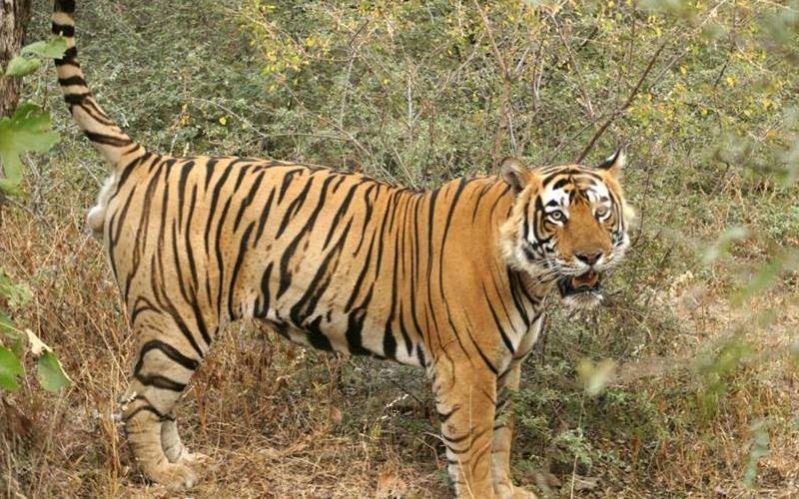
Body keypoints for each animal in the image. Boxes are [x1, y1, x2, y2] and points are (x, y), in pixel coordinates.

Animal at [51, 1, 631, 497]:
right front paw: (485, 493)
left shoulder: (508, 367)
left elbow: (502, 440)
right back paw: (165, 477)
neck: (530, 279)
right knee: (137, 403)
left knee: (159, 403)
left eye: (601, 212)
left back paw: (185, 463)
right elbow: (472, 447)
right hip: (175, 319)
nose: (592, 256)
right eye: (557, 215)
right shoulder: (467, 367)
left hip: (179, 326)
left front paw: (508, 489)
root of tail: (150, 160)